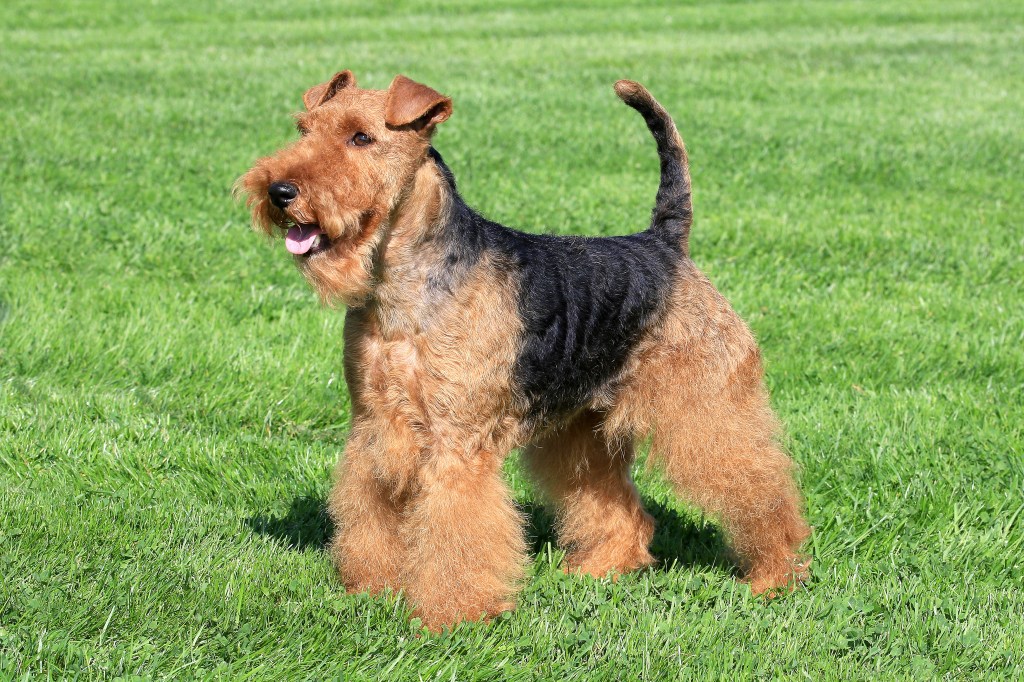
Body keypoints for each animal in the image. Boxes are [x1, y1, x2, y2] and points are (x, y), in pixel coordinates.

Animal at [237, 71, 806, 630]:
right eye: (304, 128)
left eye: (361, 138)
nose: (279, 191)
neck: (400, 290)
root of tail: (664, 243)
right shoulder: (377, 429)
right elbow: (370, 514)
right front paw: (372, 588)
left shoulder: (457, 444)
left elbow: (457, 535)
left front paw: (452, 618)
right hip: (582, 432)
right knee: (620, 508)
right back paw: (601, 569)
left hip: (706, 409)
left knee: (763, 490)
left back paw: (775, 577)